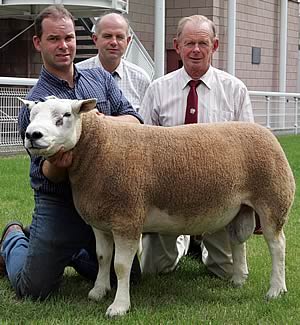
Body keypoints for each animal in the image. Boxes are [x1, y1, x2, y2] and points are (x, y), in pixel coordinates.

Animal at [20, 96, 296, 316]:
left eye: (65, 116)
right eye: (31, 115)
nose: (32, 135)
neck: (98, 147)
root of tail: (266, 132)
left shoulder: (127, 218)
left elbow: (121, 265)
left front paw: (119, 306)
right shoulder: (100, 221)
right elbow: (102, 257)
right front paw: (98, 291)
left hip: (274, 199)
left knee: (277, 245)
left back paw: (276, 289)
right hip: (239, 208)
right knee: (238, 242)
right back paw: (238, 280)